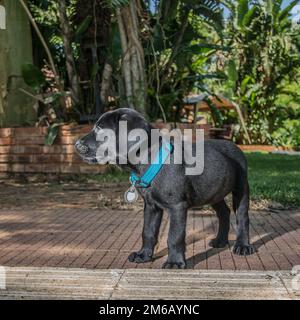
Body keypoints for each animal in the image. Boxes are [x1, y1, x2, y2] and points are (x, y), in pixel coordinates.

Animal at [75, 107, 253, 268]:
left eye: (100, 128)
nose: (76, 144)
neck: (149, 160)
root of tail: (236, 146)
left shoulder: (177, 206)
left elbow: (174, 236)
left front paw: (174, 262)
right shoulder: (151, 206)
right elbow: (147, 232)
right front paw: (144, 255)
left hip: (241, 189)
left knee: (242, 217)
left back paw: (243, 246)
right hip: (213, 192)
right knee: (224, 212)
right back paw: (220, 241)